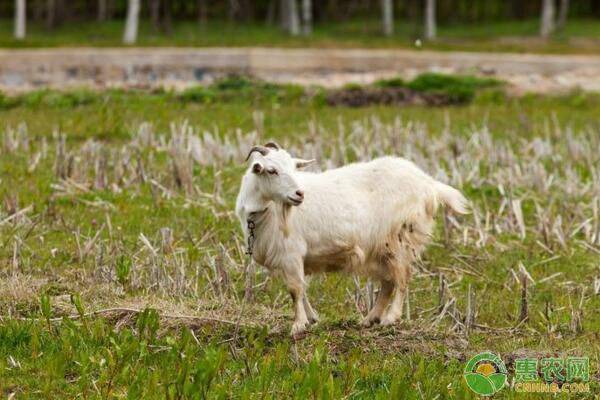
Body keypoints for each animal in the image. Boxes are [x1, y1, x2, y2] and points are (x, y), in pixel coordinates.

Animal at [234, 142, 468, 336]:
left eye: (294, 168)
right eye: (271, 170)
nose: (300, 194)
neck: (265, 212)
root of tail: (429, 184)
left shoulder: (291, 253)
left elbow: (295, 290)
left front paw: (298, 325)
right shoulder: (292, 258)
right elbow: (302, 290)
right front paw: (312, 319)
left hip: (399, 239)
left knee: (401, 280)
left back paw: (390, 318)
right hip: (382, 248)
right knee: (388, 283)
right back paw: (370, 319)